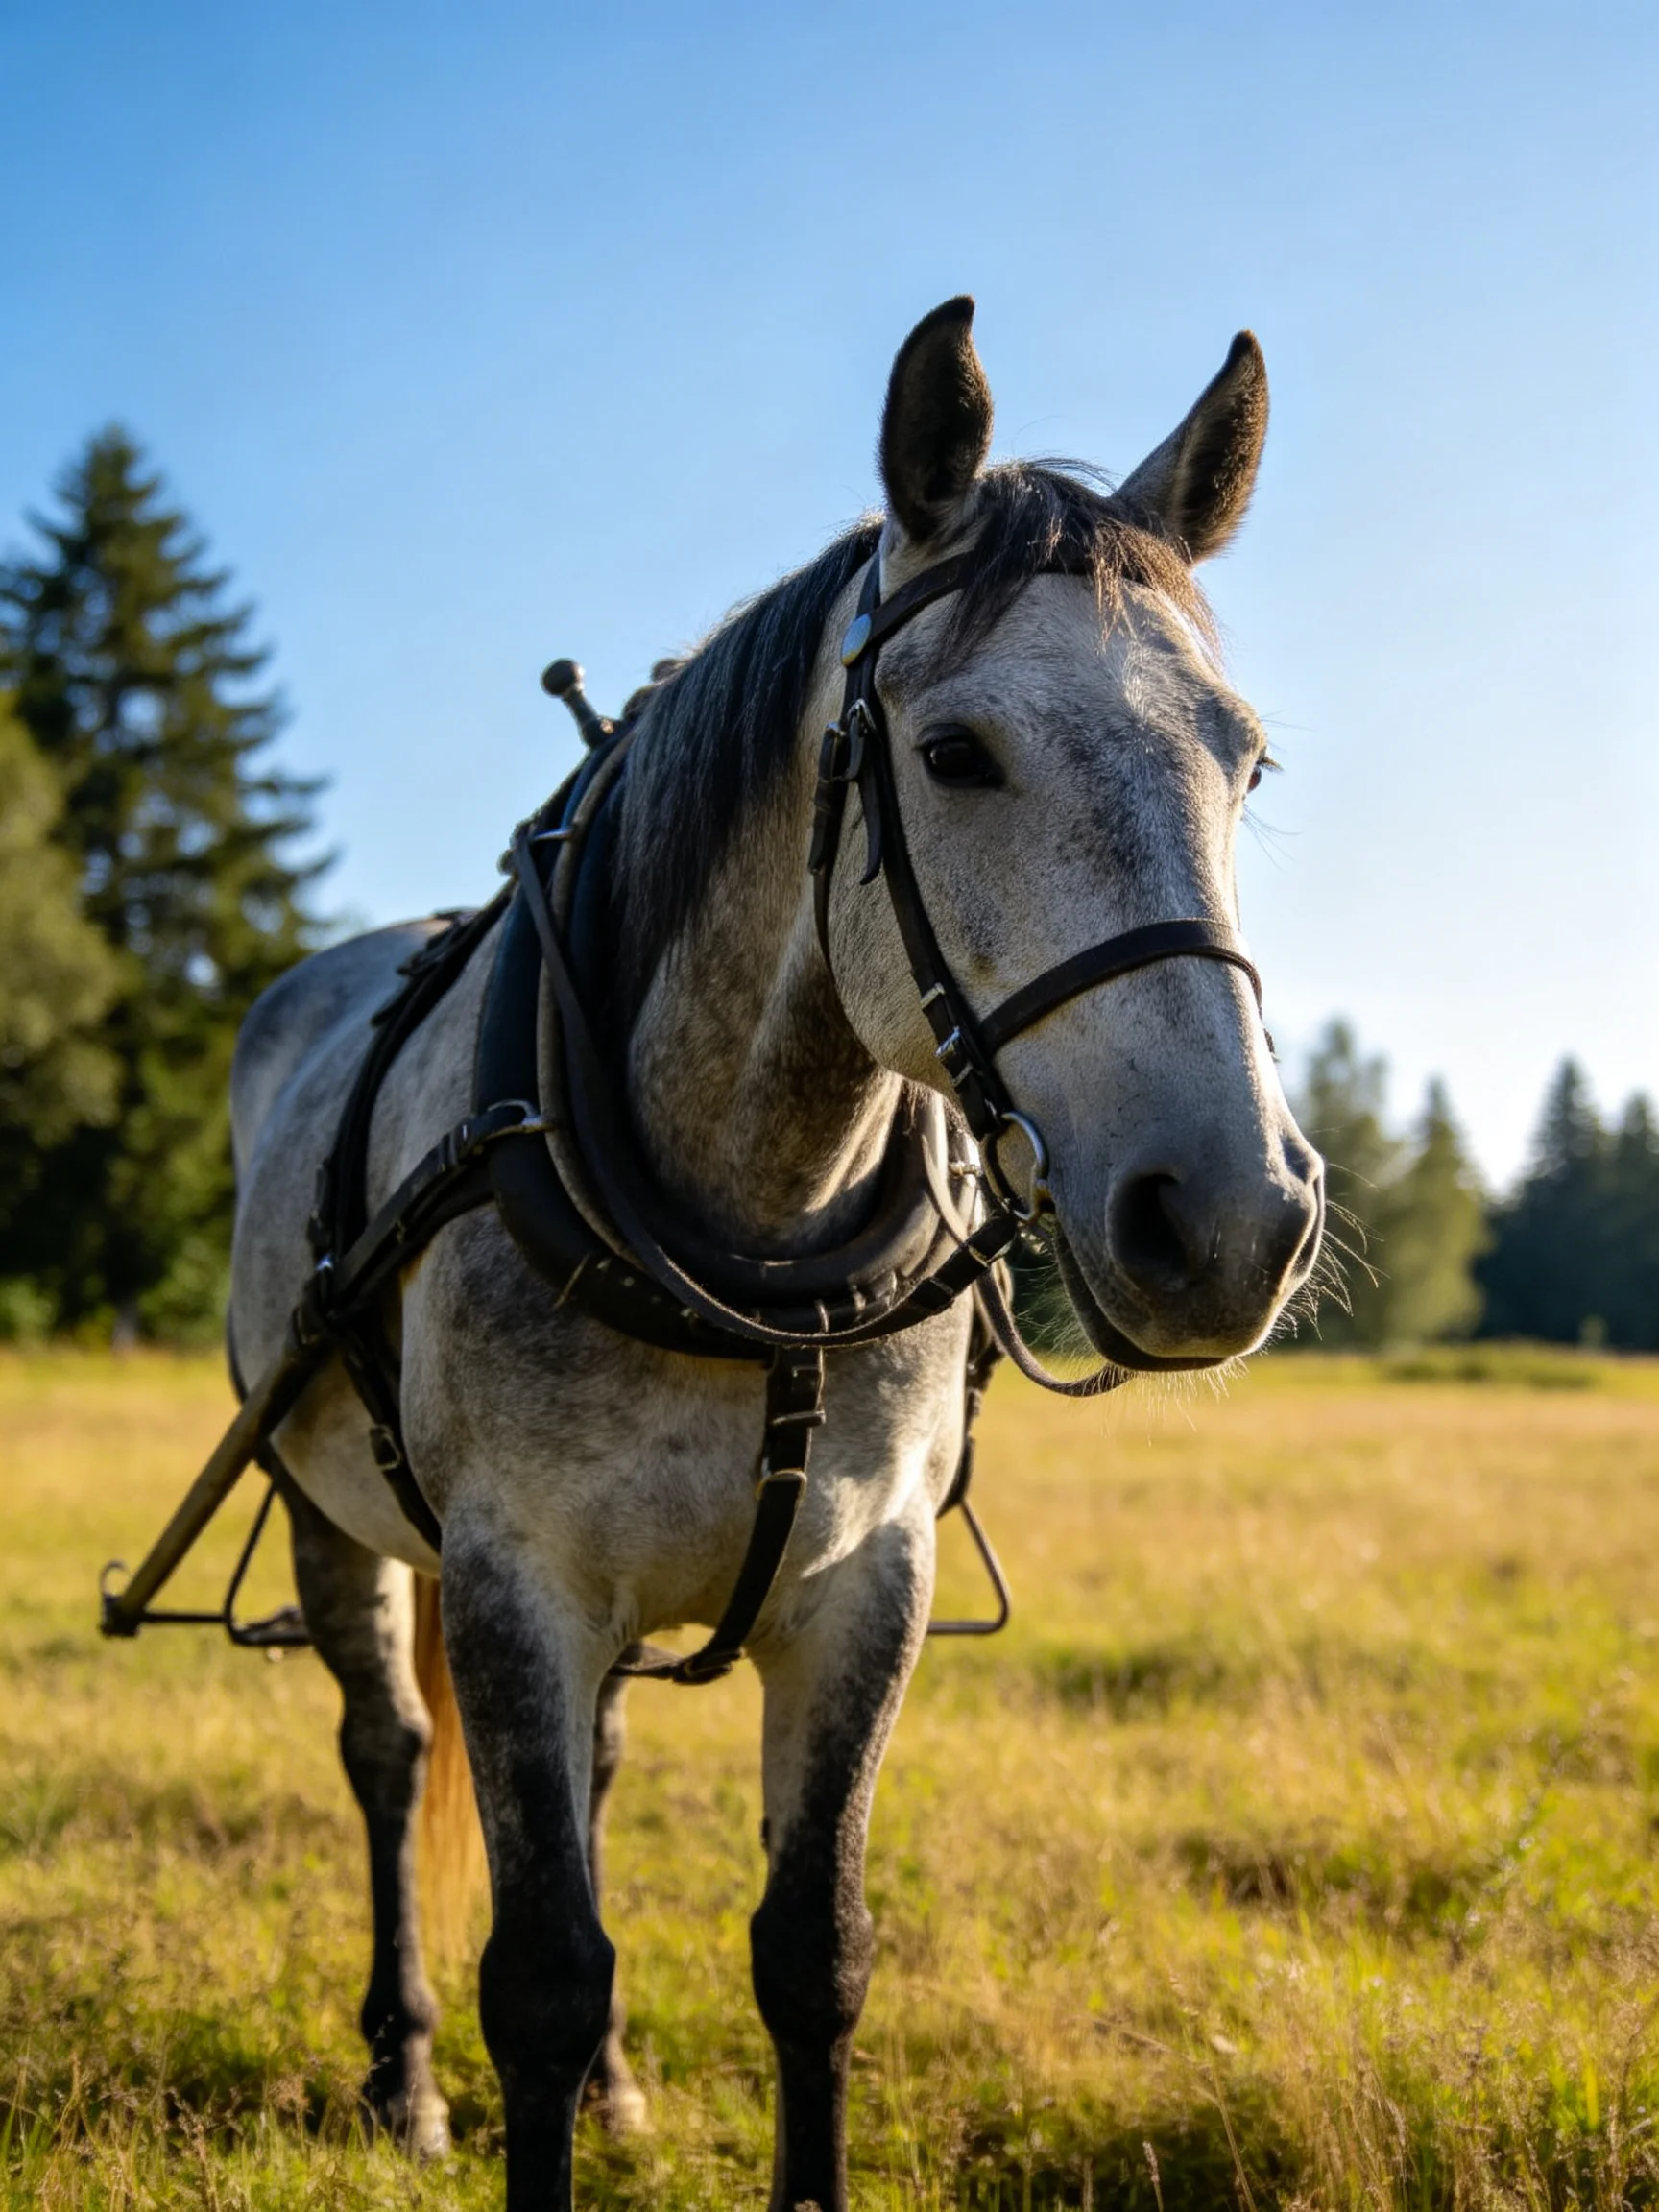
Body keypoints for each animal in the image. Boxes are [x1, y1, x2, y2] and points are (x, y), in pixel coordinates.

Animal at [226, 297, 1323, 2211]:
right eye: (953, 753)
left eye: (1242, 761)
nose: (1230, 1219)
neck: (745, 1228)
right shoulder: (514, 1575)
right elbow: (543, 1965)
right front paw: (499, 2070)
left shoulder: (863, 1579)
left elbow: (813, 1953)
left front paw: (643, 2072)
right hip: (329, 1504)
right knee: (385, 1757)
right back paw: (402, 2072)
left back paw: (608, 2089)